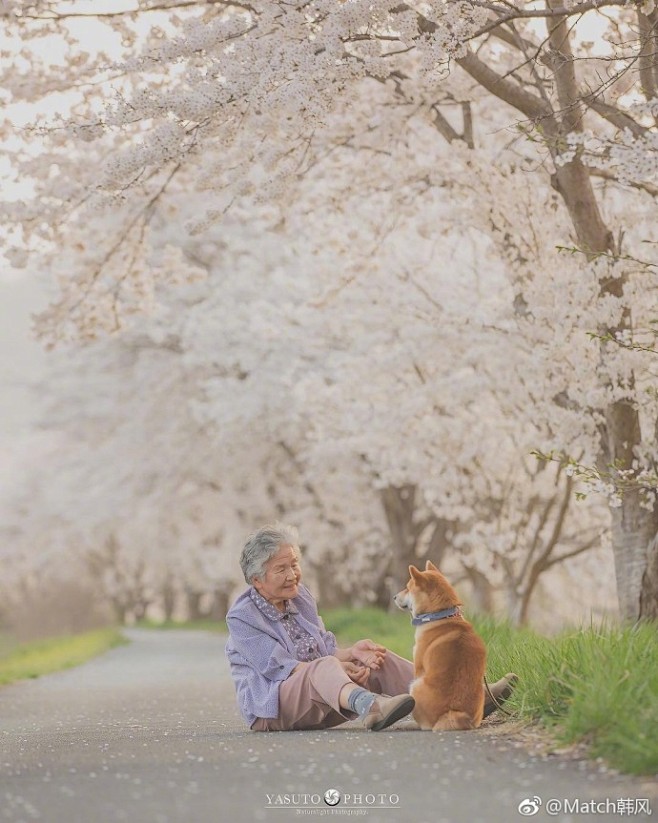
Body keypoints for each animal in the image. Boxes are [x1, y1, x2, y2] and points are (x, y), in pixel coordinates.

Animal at [392, 564, 484, 732]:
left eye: (407, 588)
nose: (394, 597)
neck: (440, 616)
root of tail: (454, 713)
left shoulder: (418, 666)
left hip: (415, 686)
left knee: (424, 726)